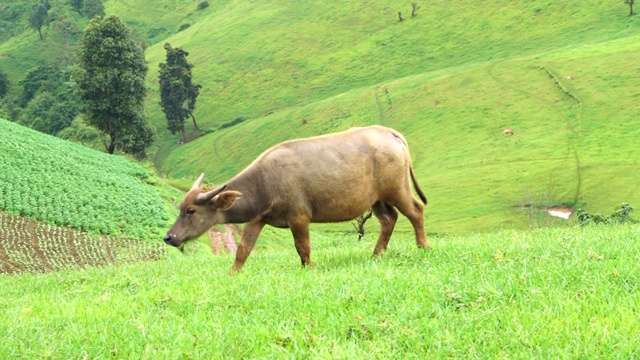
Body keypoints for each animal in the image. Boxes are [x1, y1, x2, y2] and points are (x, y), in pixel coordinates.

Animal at [165, 126, 430, 272]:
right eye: (181, 208)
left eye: (190, 211)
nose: (169, 237)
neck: (264, 182)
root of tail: (389, 132)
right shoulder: (256, 218)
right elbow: (243, 249)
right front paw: (232, 274)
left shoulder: (299, 217)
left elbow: (303, 247)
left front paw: (309, 268)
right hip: (377, 199)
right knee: (389, 219)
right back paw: (376, 255)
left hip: (397, 189)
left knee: (415, 210)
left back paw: (423, 246)